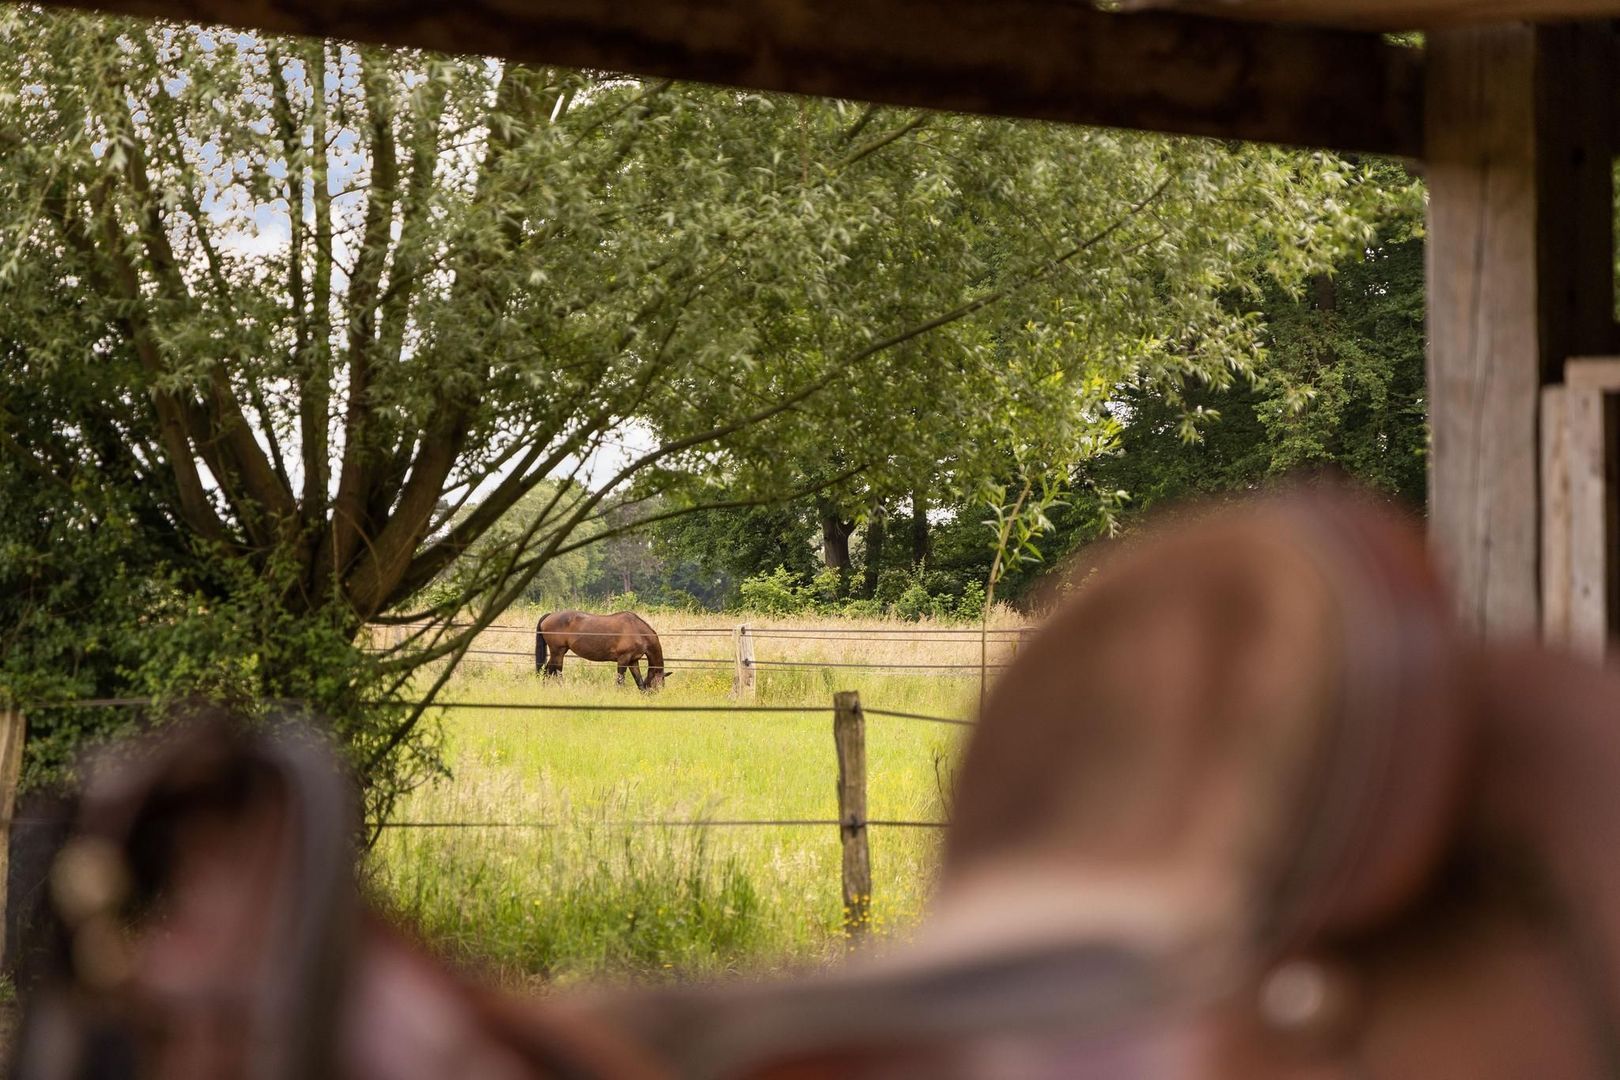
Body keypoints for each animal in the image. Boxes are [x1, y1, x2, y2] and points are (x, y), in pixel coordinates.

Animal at [534, 612, 667, 689]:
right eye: (659, 685)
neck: (637, 630)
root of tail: (549, 616)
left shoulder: (632, 661)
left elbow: (638, 681)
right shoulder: (623, 659)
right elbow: (620, 681)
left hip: (557, 653)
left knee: (547, 671)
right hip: (558, 652)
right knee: (556, 672)